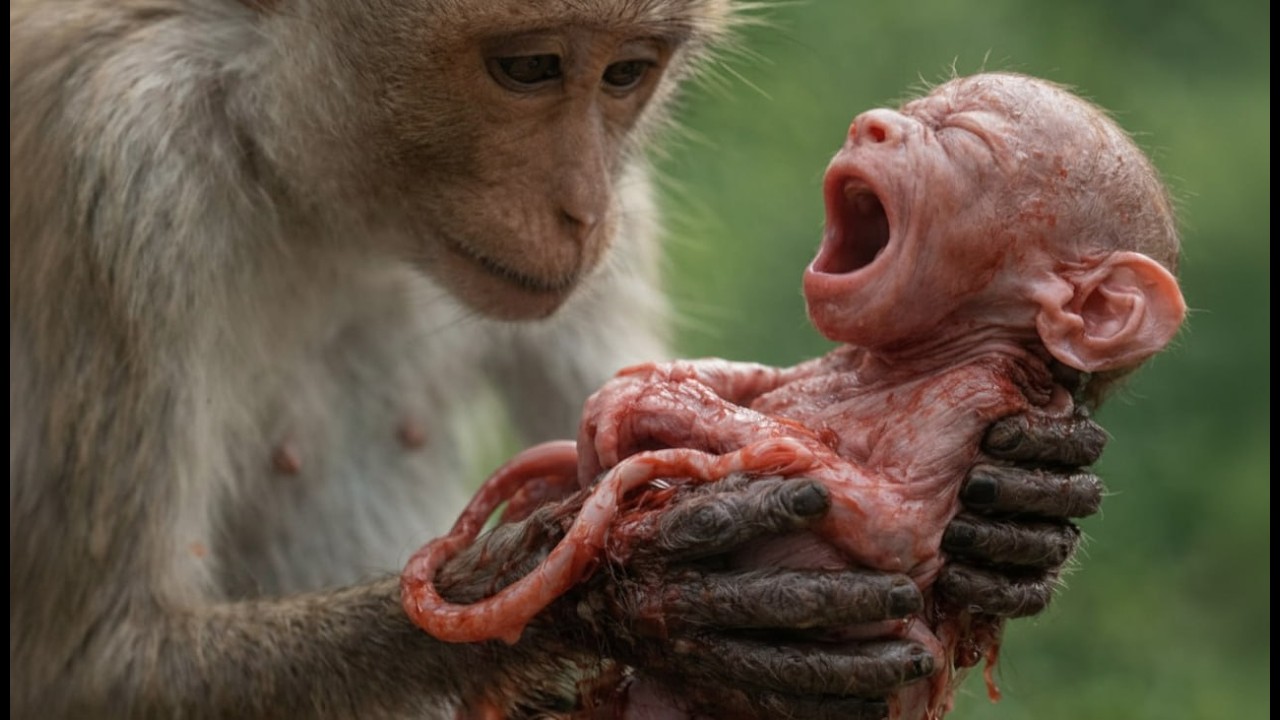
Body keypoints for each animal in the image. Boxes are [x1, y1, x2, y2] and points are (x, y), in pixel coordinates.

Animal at [10, 2, 1106, 719]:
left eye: (624, 74)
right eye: (531, 67)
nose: (584, 207)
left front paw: (1011, 513)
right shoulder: (121, 165)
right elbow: (100, 660)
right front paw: (621, 604)